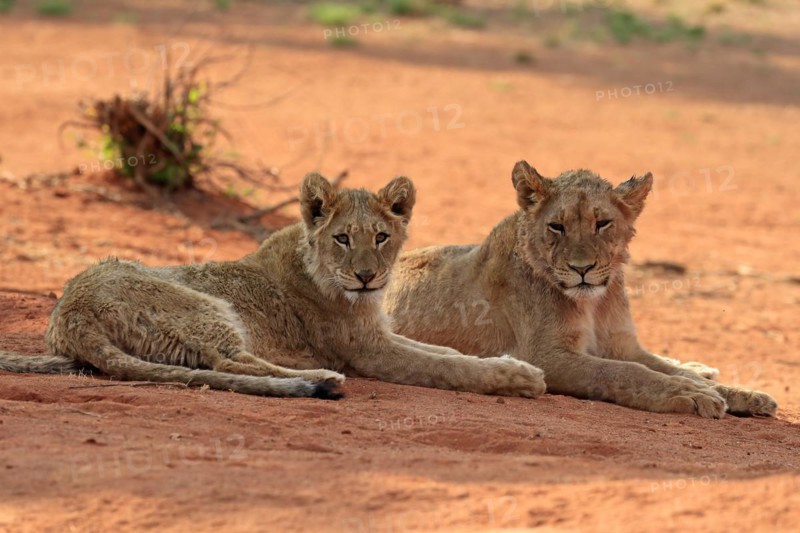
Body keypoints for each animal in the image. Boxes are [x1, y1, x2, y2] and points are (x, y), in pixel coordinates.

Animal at [0, 173, 546, 400]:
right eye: (343, 238)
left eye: (382, 237)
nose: (367, 276)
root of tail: (69, 313)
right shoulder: (369, 351)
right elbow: (445, 367)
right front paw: (517, 378)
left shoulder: (381, 333)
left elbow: (447, 352)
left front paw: (509, 363)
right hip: (204, 305)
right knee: (228, 362)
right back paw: (322, 376)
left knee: (218, 363)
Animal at [384, 161, 777, 418]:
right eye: (556, 226)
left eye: (601, 223)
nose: (582, 269)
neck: (594, 303)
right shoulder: (544, 357)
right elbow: (621, 372)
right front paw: (689, 394)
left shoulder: (623, 345)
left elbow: (663, 367)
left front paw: (743, 395)